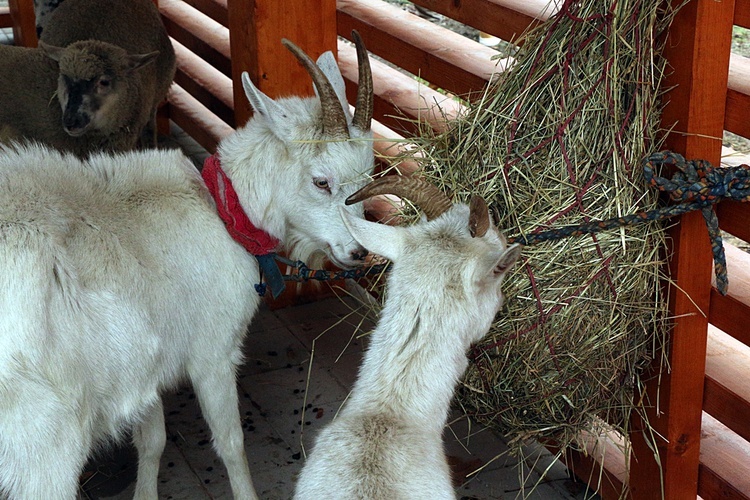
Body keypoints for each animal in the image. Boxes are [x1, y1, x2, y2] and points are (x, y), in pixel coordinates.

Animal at [0, 33, 376, 498]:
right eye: (321, 181)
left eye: (369, 177)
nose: (359, 253)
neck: (220, 211)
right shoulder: (212, 350)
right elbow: (230, 442)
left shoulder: (147, 358)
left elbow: (153, 440)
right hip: (45, 438)